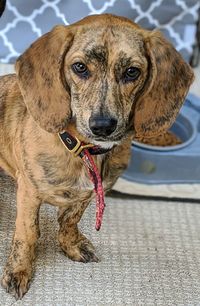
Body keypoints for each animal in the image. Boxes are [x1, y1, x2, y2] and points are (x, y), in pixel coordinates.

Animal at [0, 14, 195, 298]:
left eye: (132, 72)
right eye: (80, 67)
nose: (103, 126)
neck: (83, 150)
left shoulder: (88, 193)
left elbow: (70, 220)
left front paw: (71, 245)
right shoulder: (29, 193)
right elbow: (28, 233)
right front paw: (19, 271)